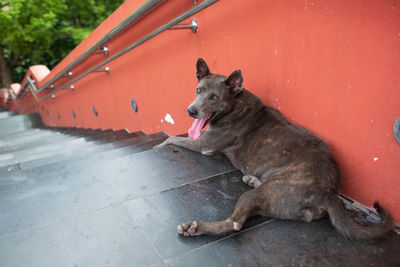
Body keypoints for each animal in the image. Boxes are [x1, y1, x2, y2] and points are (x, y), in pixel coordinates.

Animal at [155, 58, 392, 241]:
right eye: (198, 90)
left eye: (214, 97)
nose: (191, 111)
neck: (236, 105)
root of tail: (331, 192)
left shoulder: (204, 145)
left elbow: (172, 138)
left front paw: (159, 144)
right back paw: (252, 179)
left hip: (266, 193)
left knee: (234, 224)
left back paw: (195, 228)